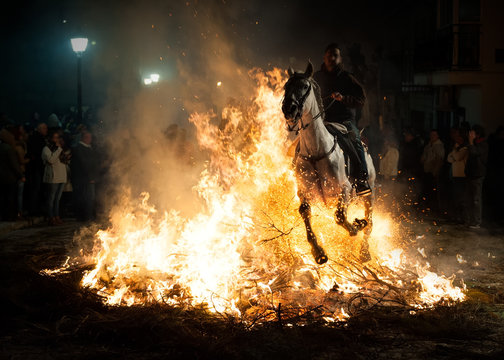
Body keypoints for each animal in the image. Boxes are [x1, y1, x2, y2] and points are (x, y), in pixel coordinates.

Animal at [284, 62, 374, 264]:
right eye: (286, 86)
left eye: (304, 86)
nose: (288, 109)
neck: (316, 151)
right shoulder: (305, 193)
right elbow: (305, 213)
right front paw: (318, 252)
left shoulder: (345, 189)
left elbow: (340, 217)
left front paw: (357, 226)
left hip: (370, 192)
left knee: (370, 221)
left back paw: (364, 250)